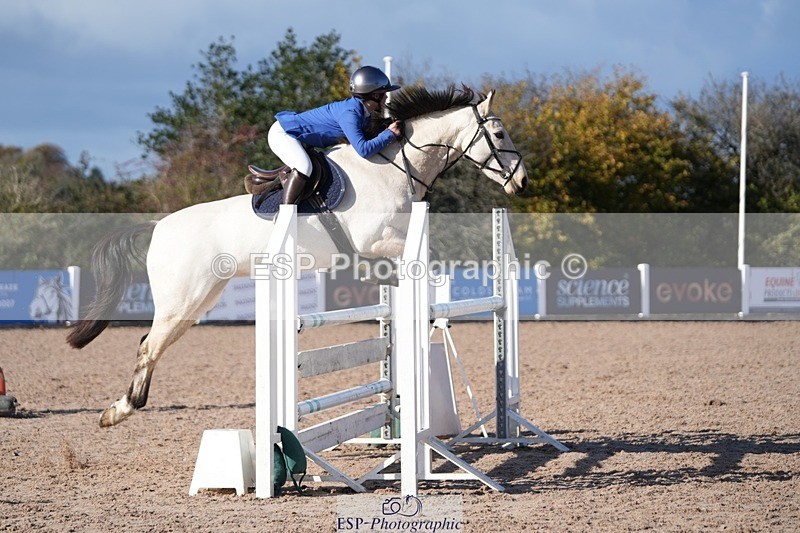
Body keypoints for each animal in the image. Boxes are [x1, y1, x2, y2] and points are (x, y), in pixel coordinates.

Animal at [66, 85, 528, 427]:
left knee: (151, 343)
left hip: (200, 299)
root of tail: (159, 226)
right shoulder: (378, 240)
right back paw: (118, 411)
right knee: (148, 347)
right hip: (181, 299)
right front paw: (429, 308)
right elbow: (425, 263)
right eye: (499, 135)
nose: (521, 182)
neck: (394, 166)